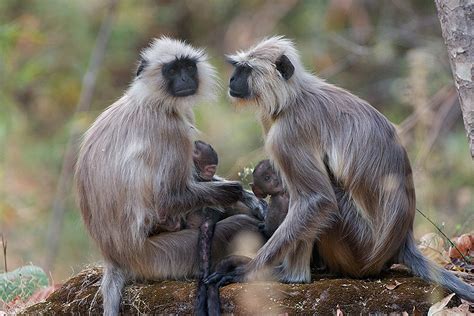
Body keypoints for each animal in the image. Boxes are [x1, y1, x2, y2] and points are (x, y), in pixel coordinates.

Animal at [75, 37, 260, 316]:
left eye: (188, 67)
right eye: (172, 70)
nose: (184, 78)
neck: (151, 101)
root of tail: (114, 258)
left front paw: (249, 197)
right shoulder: (171, 130)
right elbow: (166, 198)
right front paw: (235, 192)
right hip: (160, 258)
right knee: (239, 225)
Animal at [207, 35, 474, 302]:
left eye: (245, 70)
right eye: (237, 68)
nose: (232, 79)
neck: (293, 99)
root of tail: (401, 240)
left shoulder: (288, 134)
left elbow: (318, 200)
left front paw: (247, 271)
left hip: (358, 247)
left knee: (317, 200)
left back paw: (292, 275)